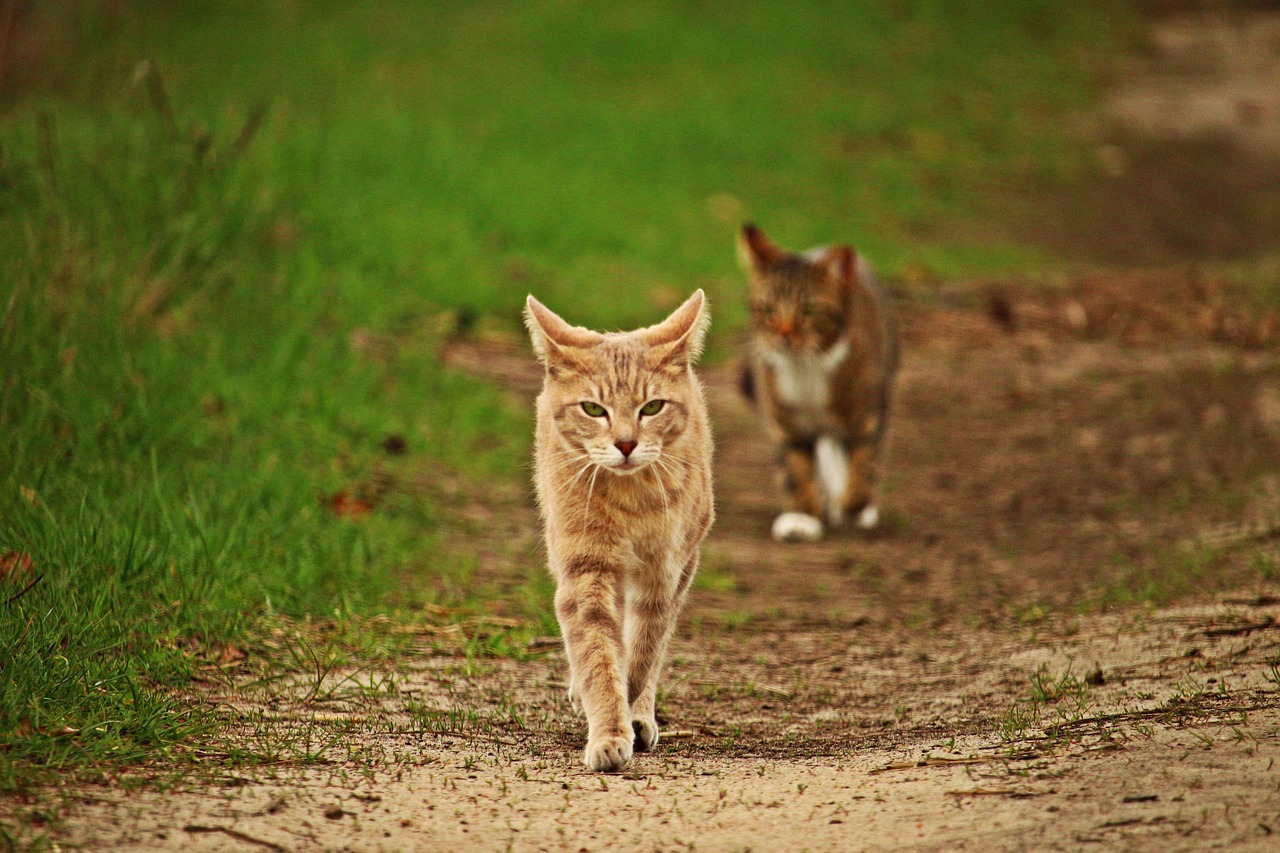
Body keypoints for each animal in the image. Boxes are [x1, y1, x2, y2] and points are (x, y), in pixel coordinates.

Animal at [524, 286, 716, 768]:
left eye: (653, 407)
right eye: (594, 409)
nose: (626, 443)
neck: (632, 502)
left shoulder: (664, 573)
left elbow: (644, 650)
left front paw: (629, 709)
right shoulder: (585, 568)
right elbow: (597, 652)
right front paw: (609, 727)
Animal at [737, 219, 906, 537]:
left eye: (809, 310)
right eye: (767, 309)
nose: (783, 335)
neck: (806, 368)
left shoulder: (868, 416)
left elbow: (863, 466)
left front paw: (852, 506)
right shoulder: (786, 426)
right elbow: (798, 470)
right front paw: (804, 518)